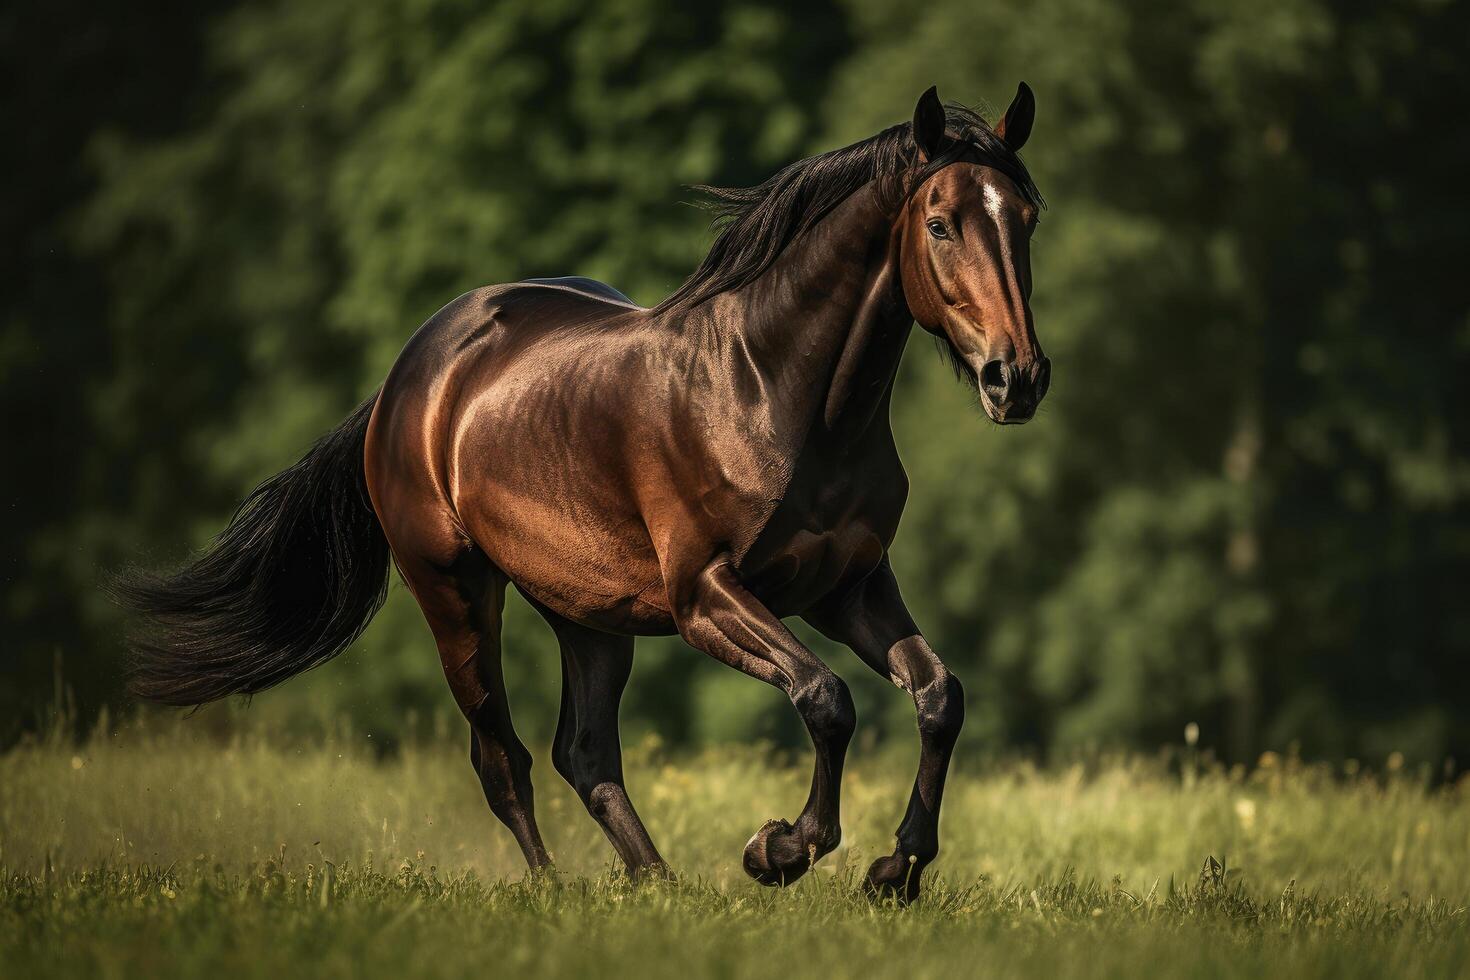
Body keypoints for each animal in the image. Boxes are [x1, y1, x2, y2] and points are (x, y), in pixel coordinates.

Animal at [123, 84, 1046, 905]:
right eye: (939, 223)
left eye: (1027, 218)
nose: (1018, 378)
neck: (777, 393)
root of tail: (403, 382)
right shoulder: (706, 595)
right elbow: (827, 698)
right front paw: (779, 850)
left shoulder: (847, 587)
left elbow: (939, 697)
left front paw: (896, 872)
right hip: (455, 593)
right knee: (504, 758)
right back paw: (556, 889)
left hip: (587, 611)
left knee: (586, 753)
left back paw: (658, 885)